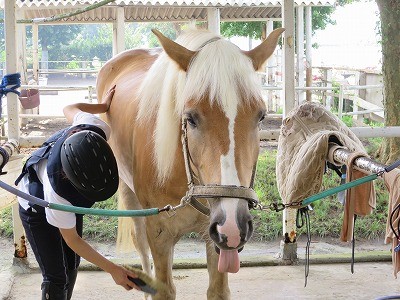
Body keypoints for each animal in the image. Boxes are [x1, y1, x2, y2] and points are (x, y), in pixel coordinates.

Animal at [97, 27, 284, 298]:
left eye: (261, 116)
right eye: (191, 118)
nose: (232, 226)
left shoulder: (215, 237)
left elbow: (217, 290)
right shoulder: (160, 235)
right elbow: (163, 287)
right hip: (129, 193)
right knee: (139, 240)